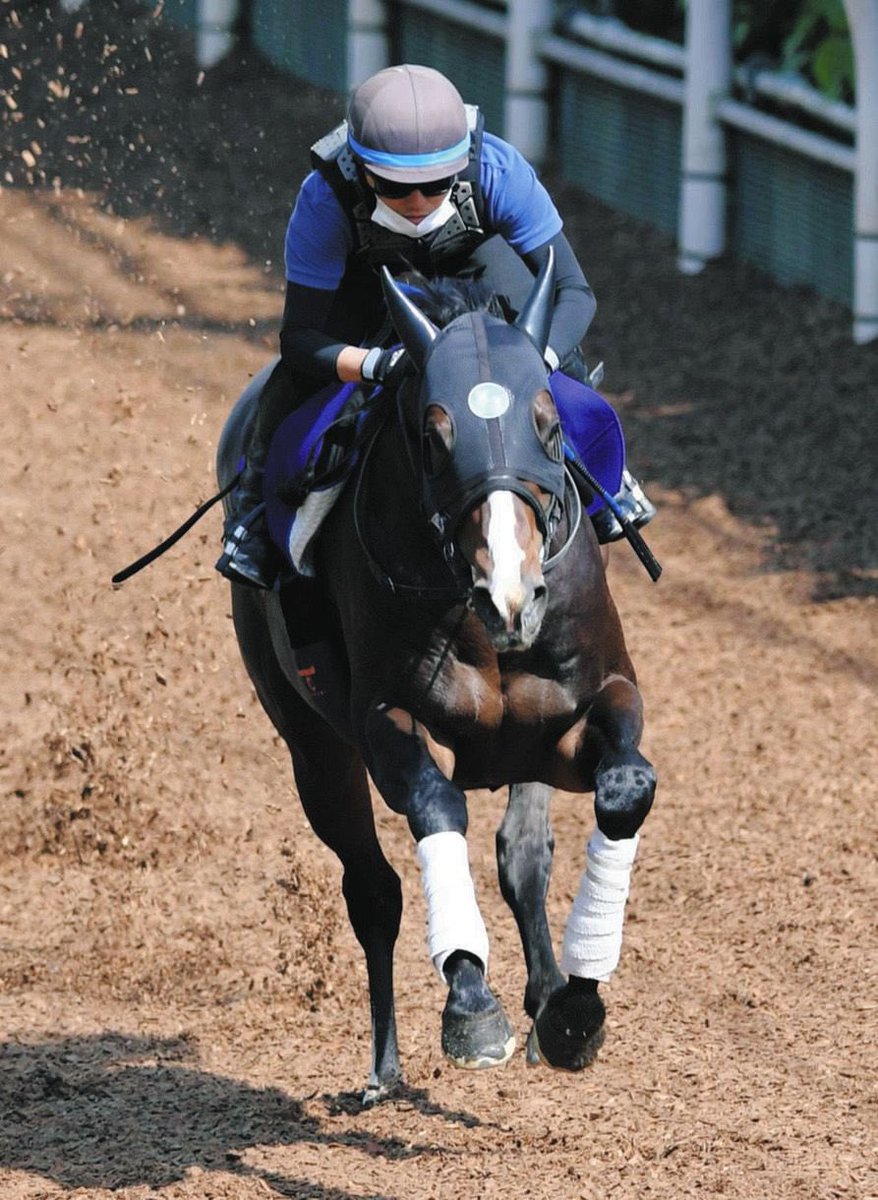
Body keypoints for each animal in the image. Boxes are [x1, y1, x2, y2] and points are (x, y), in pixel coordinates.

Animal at [215, 253, 657, 1104]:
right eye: (431, 436)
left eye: (550, 425)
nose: (512, 595)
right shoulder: (386, 720)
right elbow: (435, 808)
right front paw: (473, 1007)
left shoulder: (575, 718)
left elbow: (623, 790)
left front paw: (574, 1010)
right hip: (311, 747)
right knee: (374, 889)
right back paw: (384, 1067)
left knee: (522, 854)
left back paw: (545, 994)